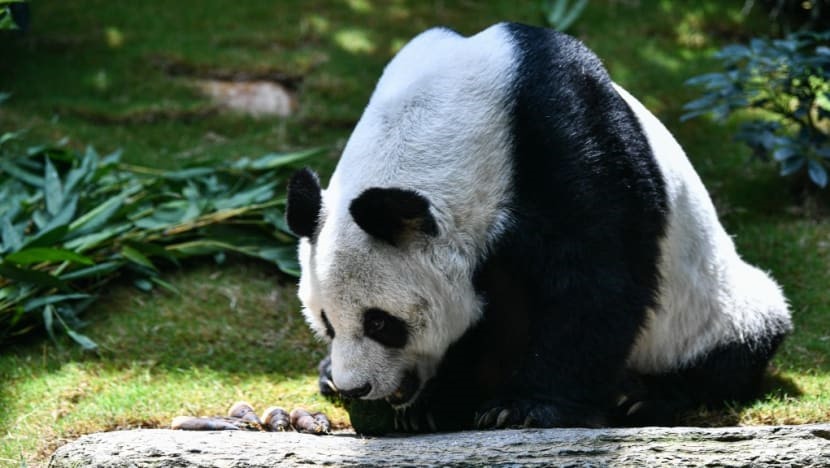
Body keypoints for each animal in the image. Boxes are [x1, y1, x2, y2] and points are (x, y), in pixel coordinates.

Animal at [284, 22, 792, 432]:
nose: (356, 387)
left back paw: (641, 397)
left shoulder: (567, 138)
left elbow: (595, 276)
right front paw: (430, 401)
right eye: (326, 321)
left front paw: (521, 408)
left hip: (715, 308)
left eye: (381, 323)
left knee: (733, 350)